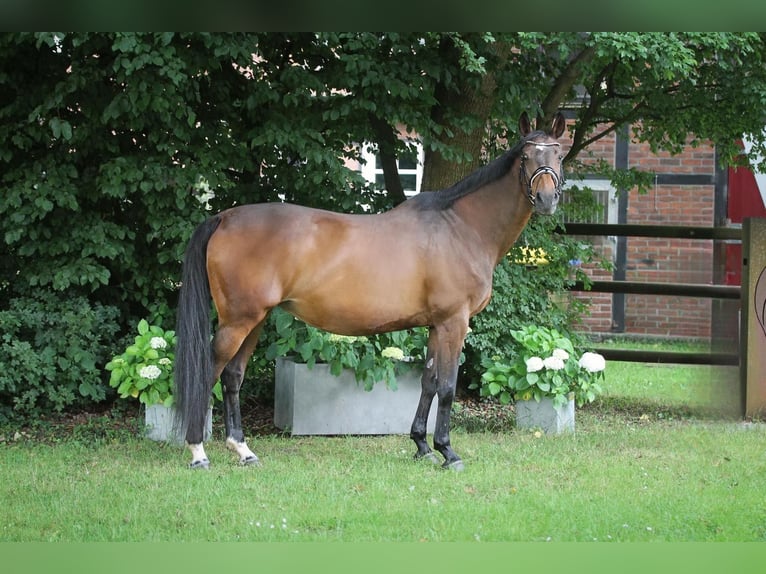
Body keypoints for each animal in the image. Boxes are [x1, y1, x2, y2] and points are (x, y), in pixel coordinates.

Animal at [176, 110, 568, 470]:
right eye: (526, 156)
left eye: (559, 155)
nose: (547, 199)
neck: (460, 227)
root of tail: (224, 217)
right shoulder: (454, 322)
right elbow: (446, 386)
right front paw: (447, 452)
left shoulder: (435, 325)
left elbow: (428, 381)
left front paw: (422, 446)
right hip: (238, 321)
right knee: (209, 372)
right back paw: (197, 451)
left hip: (254, 320)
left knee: (232, 376)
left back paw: (243, 450)